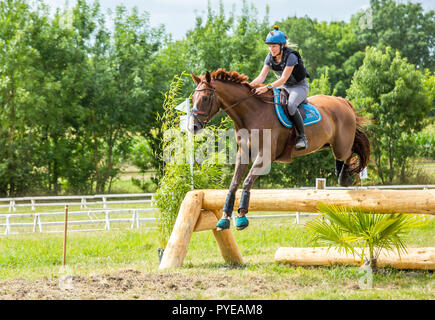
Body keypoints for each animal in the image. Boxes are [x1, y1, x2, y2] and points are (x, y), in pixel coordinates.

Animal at [191, 69, 372, 230]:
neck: (250, 113)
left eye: (205, 98)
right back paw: (341, 172)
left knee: (349, 152)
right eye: (193, 97)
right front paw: (224, 219)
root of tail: (343, 101)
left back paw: (343, 177)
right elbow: (234, 183)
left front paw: (242, 216)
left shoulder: (265, 155)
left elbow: (247, 181)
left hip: (341, 145)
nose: (193, 126)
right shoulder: (243, 154)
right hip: (329, 143)